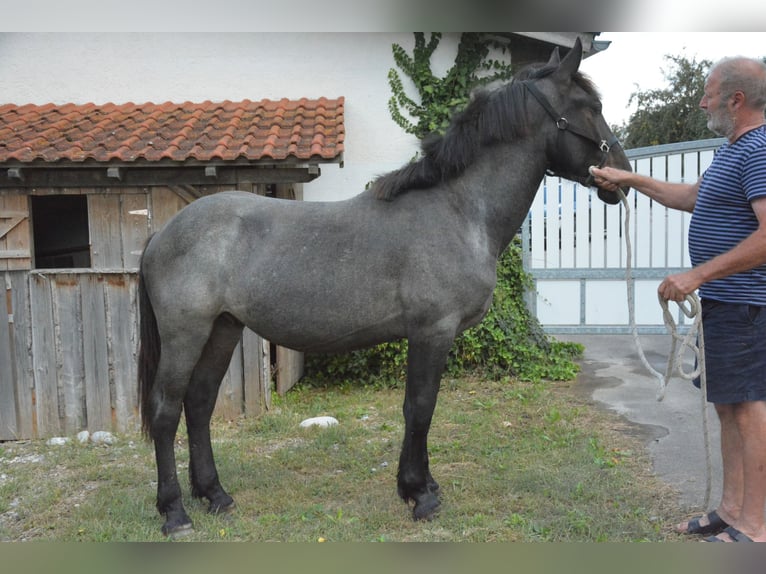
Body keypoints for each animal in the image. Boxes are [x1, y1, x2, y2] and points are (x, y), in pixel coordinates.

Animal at [141, 38, 632, 536]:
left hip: (222, 329)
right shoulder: (432, 331)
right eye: (590, 107)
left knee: (199, 403)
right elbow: (420, 407)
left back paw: (215, 495)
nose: (621, 175)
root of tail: (162, 235)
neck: (458, 209)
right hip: (186, 334)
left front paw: (422, 485)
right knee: (165, 411)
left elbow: (421, 409)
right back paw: (175, 512)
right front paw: (419, 494)